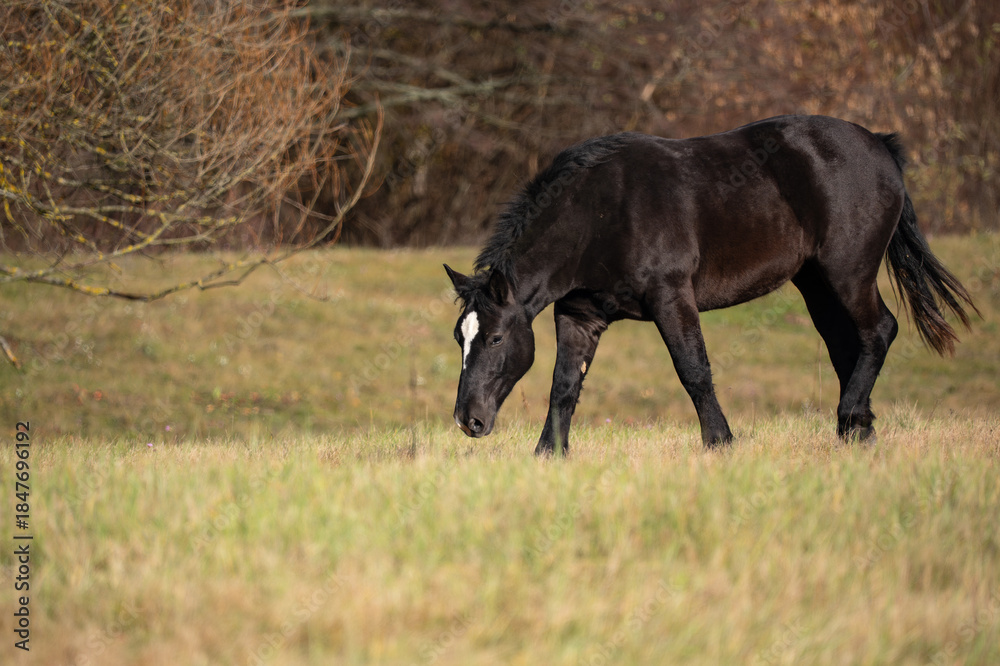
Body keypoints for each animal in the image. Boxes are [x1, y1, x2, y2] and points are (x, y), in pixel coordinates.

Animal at [444, 115, 977, 454]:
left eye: (495, 338)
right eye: (459, 338)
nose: (468, 420)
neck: (598, 212)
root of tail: (879, 145)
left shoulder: (671, 296)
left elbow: (693, 371)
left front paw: (720, 441)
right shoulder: (580, 314)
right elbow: (564, 384)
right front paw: (549, 453)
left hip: (849, 272)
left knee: (879, 331)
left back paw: (850, 420)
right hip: (817, 284)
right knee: (849, 347)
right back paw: (858, 432)